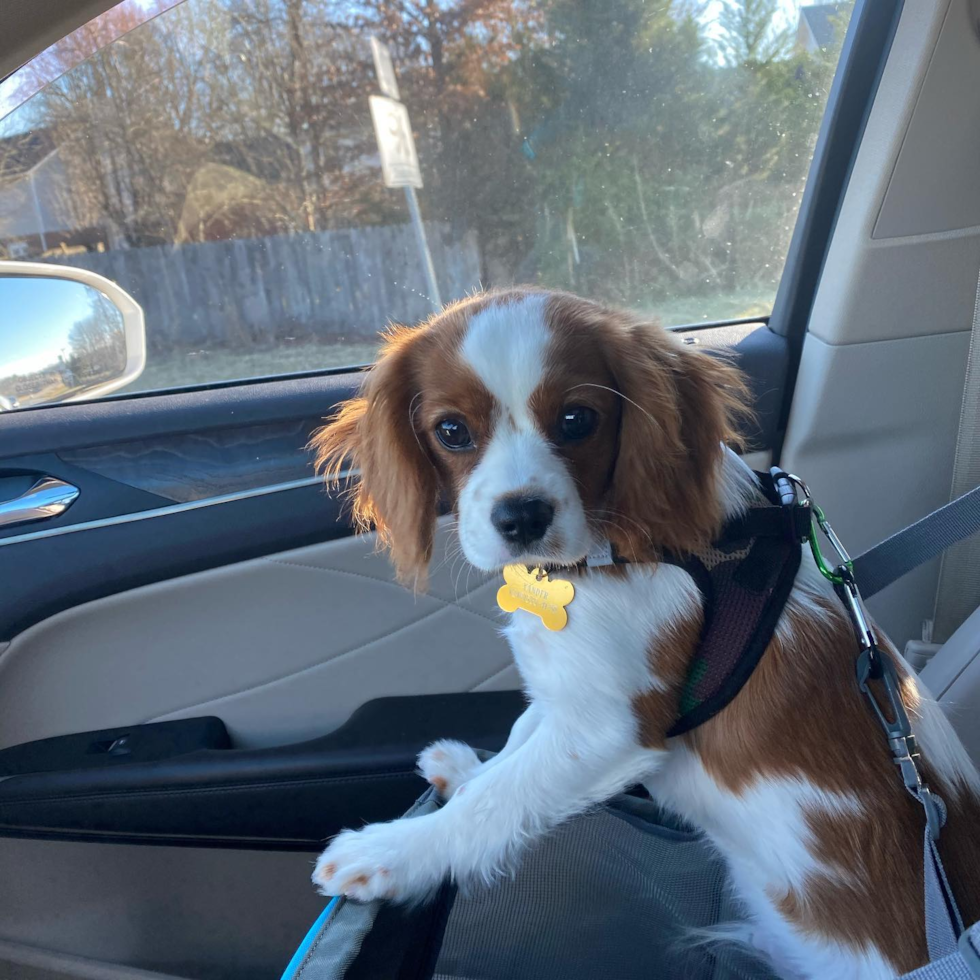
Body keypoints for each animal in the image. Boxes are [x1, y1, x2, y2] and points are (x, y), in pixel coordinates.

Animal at [308, 288, 980, 976]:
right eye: (451, 431)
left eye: (577, 419)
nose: (521, 517)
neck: (608, 554)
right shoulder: (566, 692)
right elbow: (516, 747)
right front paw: (467, 769)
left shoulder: (611, 729)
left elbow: (498, 800)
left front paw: (389, 853)